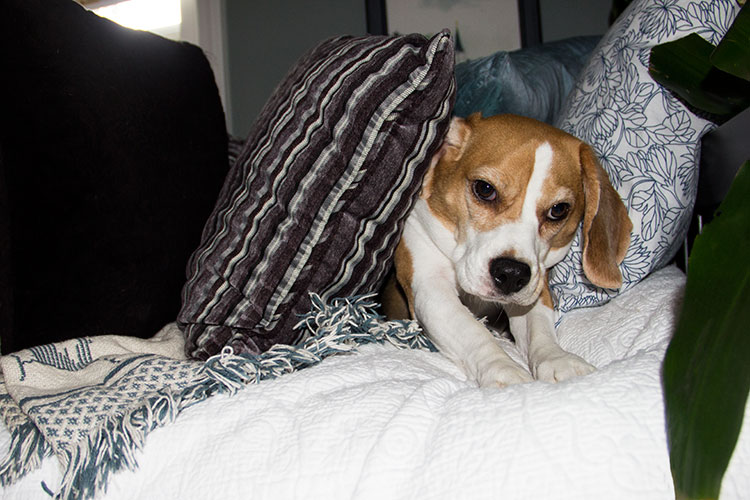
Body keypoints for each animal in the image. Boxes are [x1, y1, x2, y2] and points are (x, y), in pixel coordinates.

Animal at [382, 114, 636, 390]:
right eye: (484, 189)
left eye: (558, 210)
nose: (512, 274)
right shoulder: (430, 286)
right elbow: (472, 329)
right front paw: (503, 368)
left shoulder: (537, 288)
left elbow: (539, 329)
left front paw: (558, 359)